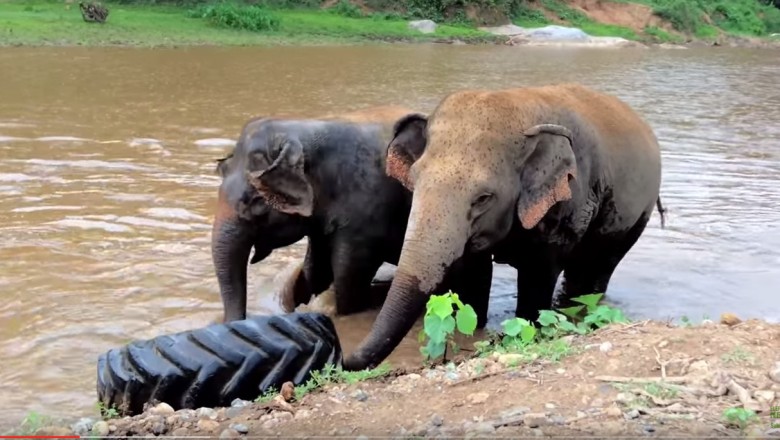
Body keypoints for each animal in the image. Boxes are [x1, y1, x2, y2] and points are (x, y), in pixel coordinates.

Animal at [344, 83, 668, 372]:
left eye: (483, 198)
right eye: (414, 179)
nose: (342, 357)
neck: (518, 104)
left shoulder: (569, 202)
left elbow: (538, 276)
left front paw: (530, 325)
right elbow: (473, 276)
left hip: (635, 217)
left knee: (596, 271)